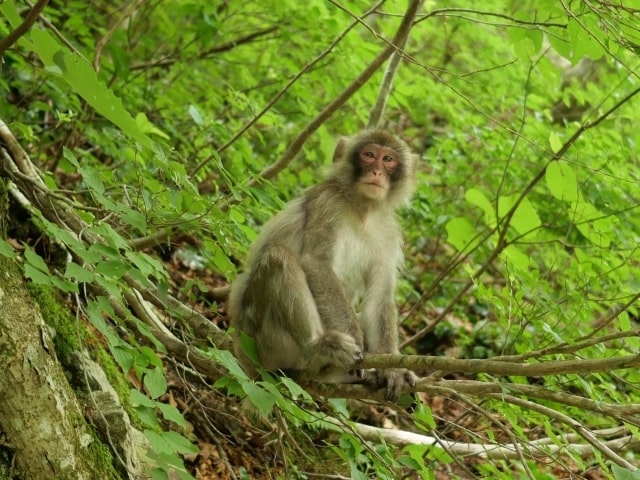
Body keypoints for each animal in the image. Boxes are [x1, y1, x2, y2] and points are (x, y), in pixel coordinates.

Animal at [230, 129, 420, 400]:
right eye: (368, 155)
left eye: (388, 159)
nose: (376, 172)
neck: (362, 211)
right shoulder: (327, 203)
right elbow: (317, 264)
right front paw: (359, 345)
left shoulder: (389, 233)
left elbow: (379, 299)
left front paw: (392, 370)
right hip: (262, 340)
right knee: (278, 256)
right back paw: (318, 347)